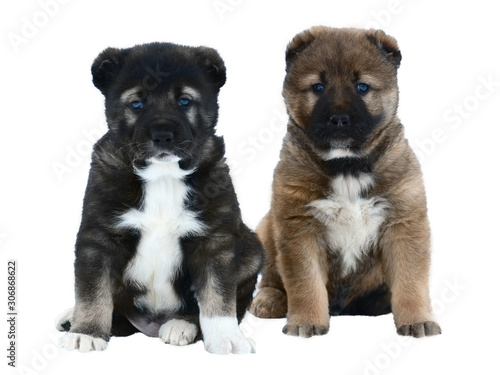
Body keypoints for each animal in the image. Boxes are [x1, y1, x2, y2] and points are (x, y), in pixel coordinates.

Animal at [55, 43, 262, 356]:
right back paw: (73, 318)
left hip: (251, 250)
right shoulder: (99, 236)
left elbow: (218, 295)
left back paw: (181, 325)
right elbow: (93, 289)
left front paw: (227, 337)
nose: (163, 136)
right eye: (137, 104)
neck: (162, 176)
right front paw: (87, 332)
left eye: (185, 101)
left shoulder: (215, 240)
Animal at [250, 25, 442, 340]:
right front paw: (306, 320)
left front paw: (417, 319)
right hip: (267, 227)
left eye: (362, 87)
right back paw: (270, 299)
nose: (339, 119)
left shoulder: (403, 224)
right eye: (318, 87)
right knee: (271, 278)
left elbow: (410, 281)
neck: (347, 168)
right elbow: (305, 283)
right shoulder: (298, 226)